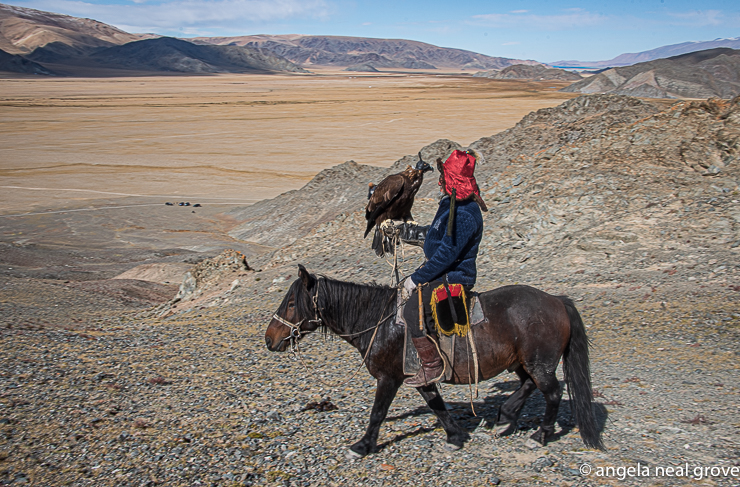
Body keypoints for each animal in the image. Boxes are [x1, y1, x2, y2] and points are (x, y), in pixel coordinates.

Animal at [264, 264, 600, 456]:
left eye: (292, 302)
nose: (269, 339)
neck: (377, 322)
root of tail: (557, 301)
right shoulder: (420, 377)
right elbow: (436, 405)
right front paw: (456, 436)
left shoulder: (389, 378)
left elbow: (377, 413)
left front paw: (362, 446)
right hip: (521, 362)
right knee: (528, 385)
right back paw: (505, 418)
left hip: (539, 363)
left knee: (552, 392)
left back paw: (539, 435)